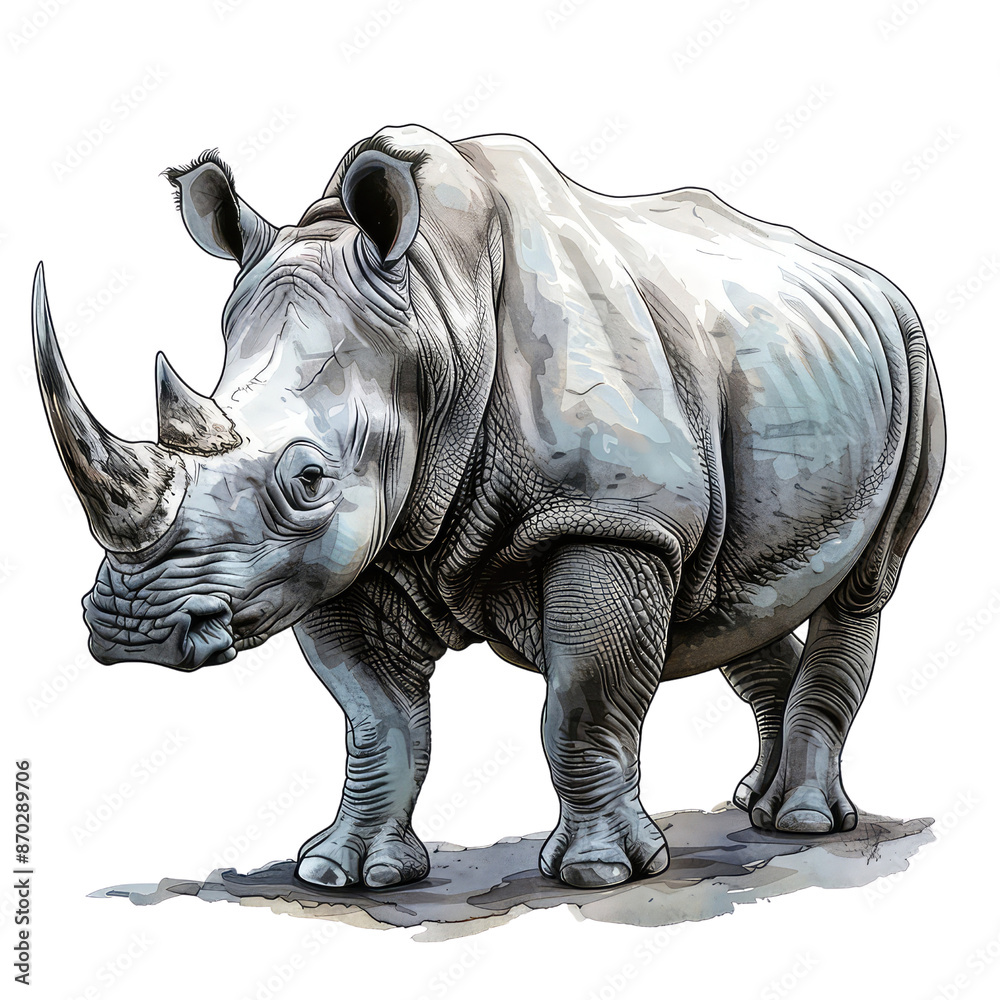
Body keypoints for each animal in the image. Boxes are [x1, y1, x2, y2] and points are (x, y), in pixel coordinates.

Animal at [33, 125, 945, 890]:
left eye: (308, 481)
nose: (134, 630)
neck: (434, 313)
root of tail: (870, 278)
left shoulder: (610, 518)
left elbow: (582, 702)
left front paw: (600, 874)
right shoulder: (355, 550)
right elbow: (376, 716)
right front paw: (342, 873)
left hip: (913, 353)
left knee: (865, 584)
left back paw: (801, 823)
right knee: (730, 592)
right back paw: (755, 798)